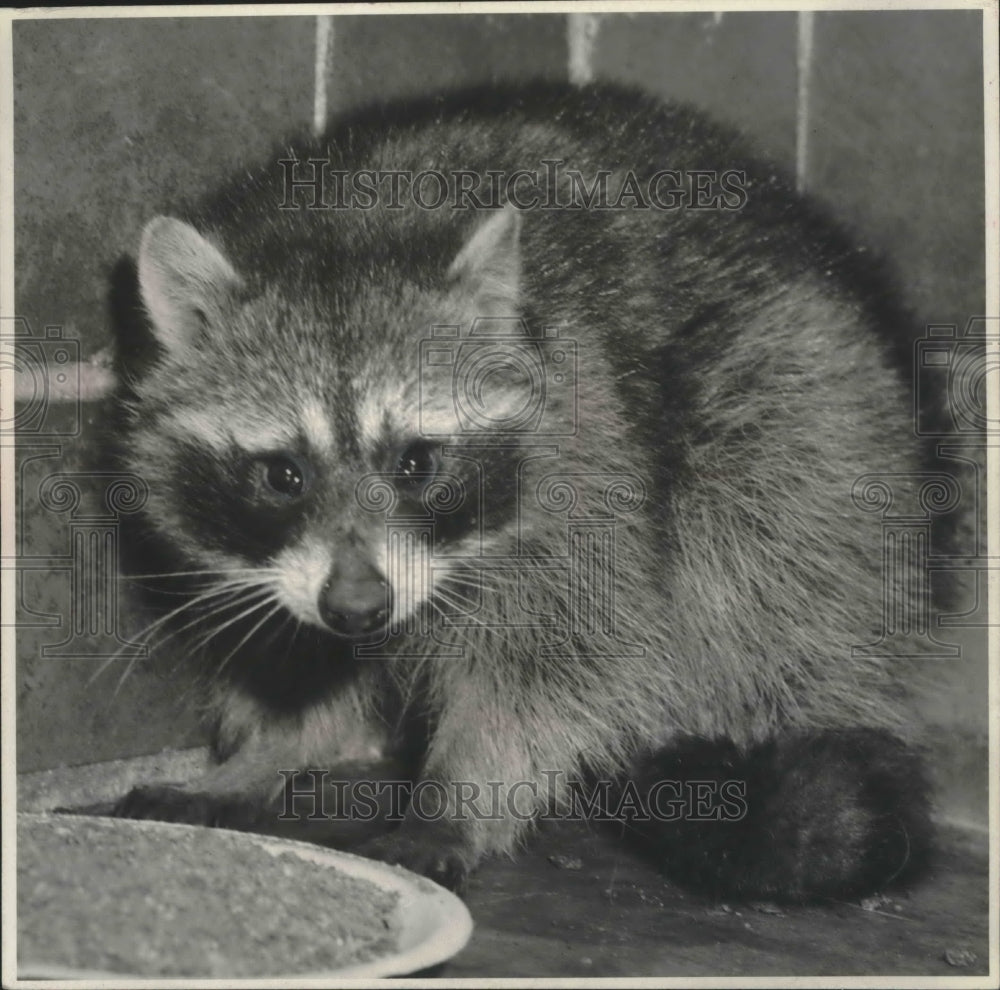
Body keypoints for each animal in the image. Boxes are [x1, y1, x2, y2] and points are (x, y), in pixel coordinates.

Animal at [114, 81, 937, 900]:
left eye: (416, 463)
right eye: (285, 474)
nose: (359, 608)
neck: (342, 232)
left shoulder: (585, 466)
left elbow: (557, 661)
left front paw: (458, 797)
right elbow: (294, 652)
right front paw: (271, 749)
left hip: (809, 402)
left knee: (757, 536)